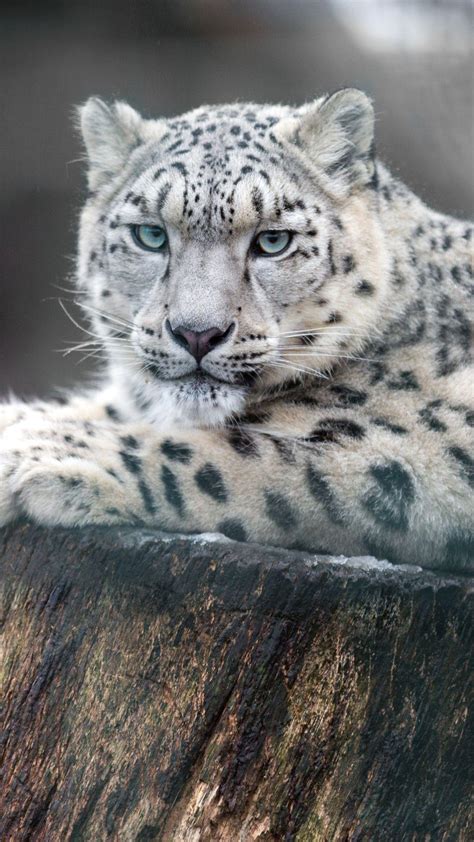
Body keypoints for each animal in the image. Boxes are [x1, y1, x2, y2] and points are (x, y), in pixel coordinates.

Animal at [0, 88, 472, 570]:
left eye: (273, 241)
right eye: (150, 235)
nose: (197, 333)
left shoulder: (419, 448)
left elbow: (233, 456)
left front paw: (36, 451)